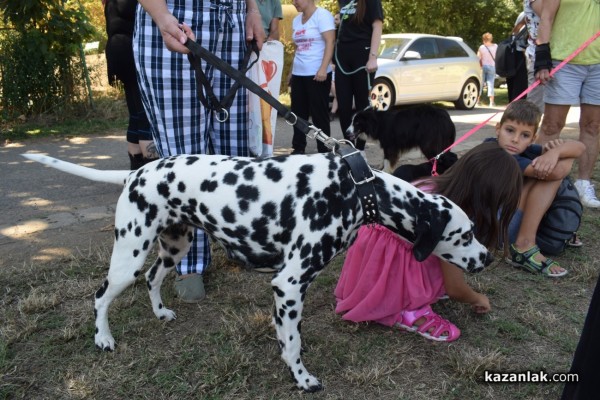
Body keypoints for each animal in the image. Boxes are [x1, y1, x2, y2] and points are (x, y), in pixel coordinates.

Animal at [23, 152, 492, 392]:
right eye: (466, 233)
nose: (486, 257)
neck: (355, 190)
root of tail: (137, 170)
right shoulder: (289, 284)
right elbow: (294, 343)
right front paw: (302, 379)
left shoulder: (287, 290)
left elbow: (286, 336)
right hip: (128, 254)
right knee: (101, 296)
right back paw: (102, 338)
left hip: (174, 247)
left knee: (154, 280)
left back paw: (160, 313)